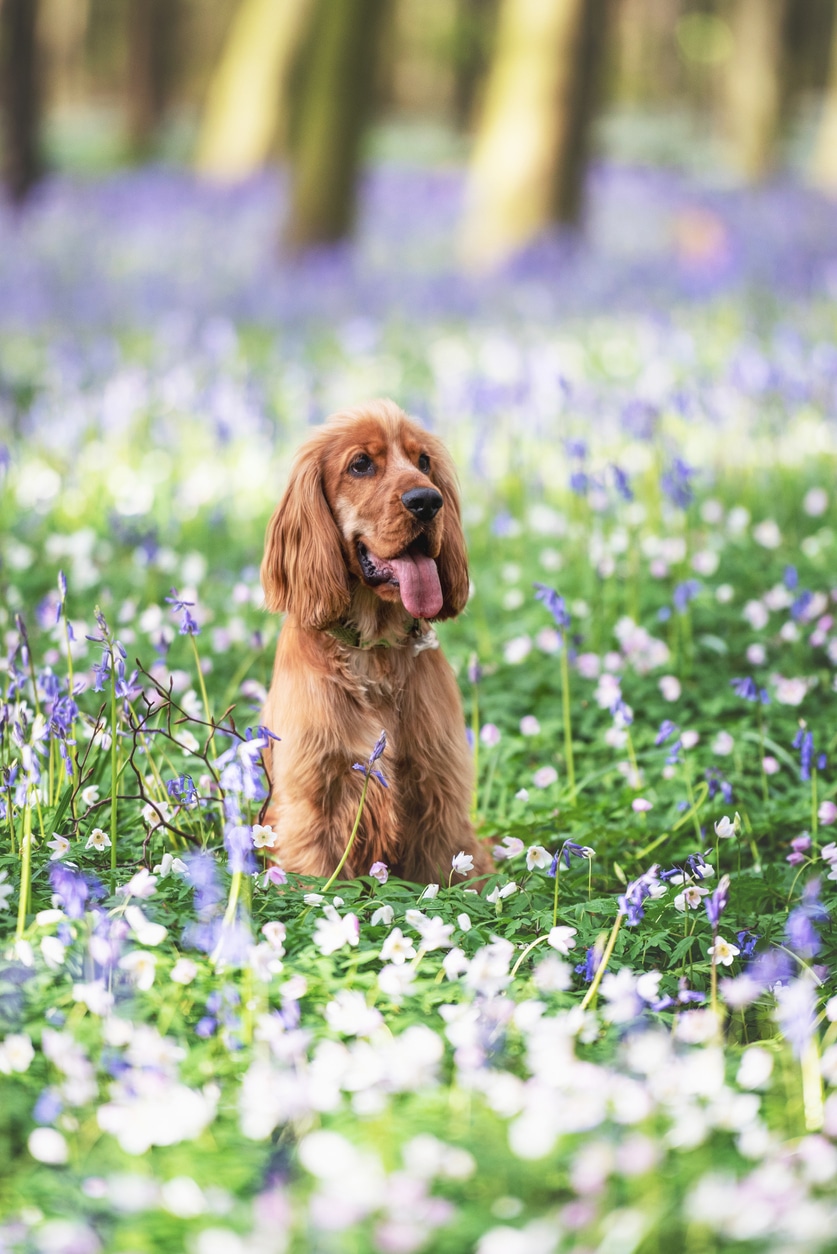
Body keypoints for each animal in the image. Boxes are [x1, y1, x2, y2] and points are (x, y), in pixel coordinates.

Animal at [257, 398, 491, 882]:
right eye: (361, 464)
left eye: (424, 461)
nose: (428, 501)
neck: (373, 651)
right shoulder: (314, 802)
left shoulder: (438, 794)